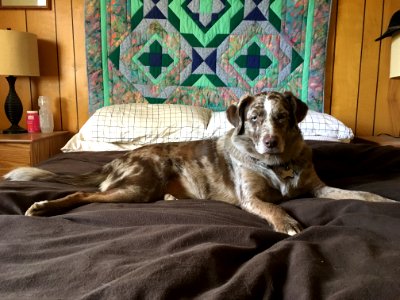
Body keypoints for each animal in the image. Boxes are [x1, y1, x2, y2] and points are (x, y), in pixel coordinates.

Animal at [3, 90, 396, 236]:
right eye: (254, 118)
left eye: (282, 117)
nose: (269, 141)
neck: (278, 163)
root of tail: (121, 156)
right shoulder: (252, 198)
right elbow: (274, 208)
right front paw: (286, 222)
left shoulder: (318, 188)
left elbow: (359, 195)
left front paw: (386, 201)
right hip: (136, 186)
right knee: (83, 197)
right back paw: (42, 207)